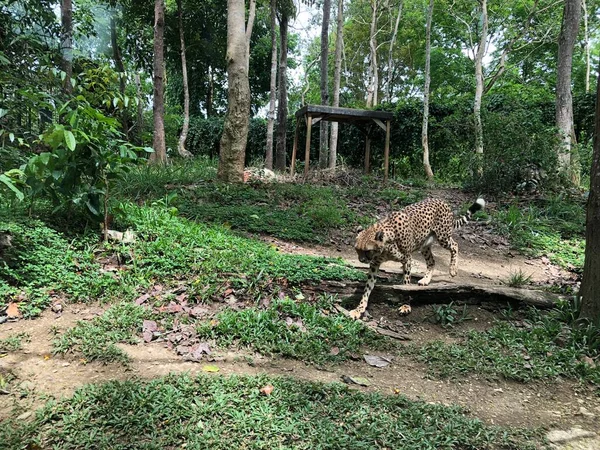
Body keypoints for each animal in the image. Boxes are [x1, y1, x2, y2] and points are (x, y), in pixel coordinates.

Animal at [350, 198, 486, 320]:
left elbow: (406, 284)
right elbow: (367, 288)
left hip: (443, 237)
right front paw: (359, 309)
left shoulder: (407, 259)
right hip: (424, 245)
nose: (361, 260)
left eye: (367, 251)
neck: (385, 246)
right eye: (357, 249)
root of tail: (441, 200)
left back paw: (453, 269)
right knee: (432, 261)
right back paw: (426, 280)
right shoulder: (374, 264)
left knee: (455, 245)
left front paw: (405, 306)